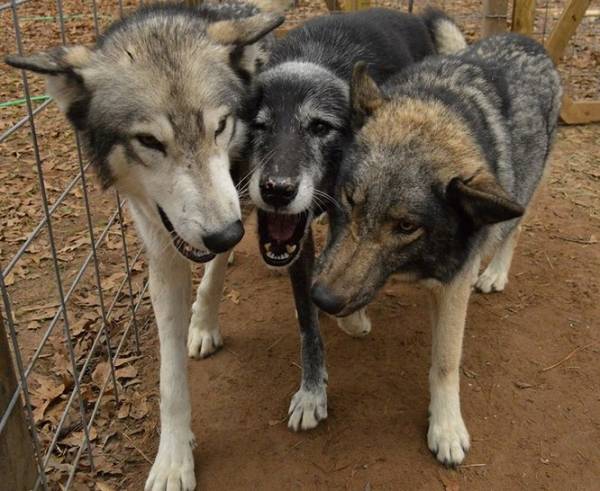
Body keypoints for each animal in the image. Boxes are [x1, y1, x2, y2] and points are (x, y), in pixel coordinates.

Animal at [6, 2, 285, 489]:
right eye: (150, 141)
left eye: (221, 125)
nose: (225, 234)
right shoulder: (162, 252)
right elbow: (169, 379)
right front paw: (173, 459)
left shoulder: (236, 195)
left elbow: (213, 276)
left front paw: (204, 322)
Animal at [242, 7, 466, 432]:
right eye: (258, 125)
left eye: (320, 127)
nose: (278, 190)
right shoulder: (301, 245)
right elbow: (307, 324)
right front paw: (312, 392)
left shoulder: (348, 213)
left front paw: (353, 318)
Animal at [311, 33, 562, 466]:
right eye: (350, 199)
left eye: (406, 226)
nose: (321, 299)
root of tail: (526, 39)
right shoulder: (338, 245)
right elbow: (345, 281)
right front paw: (356, 321)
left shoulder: (454, 285)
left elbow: (445, 363)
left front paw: (446, 427)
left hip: (524, 191)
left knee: (512, 231)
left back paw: (495, 272)